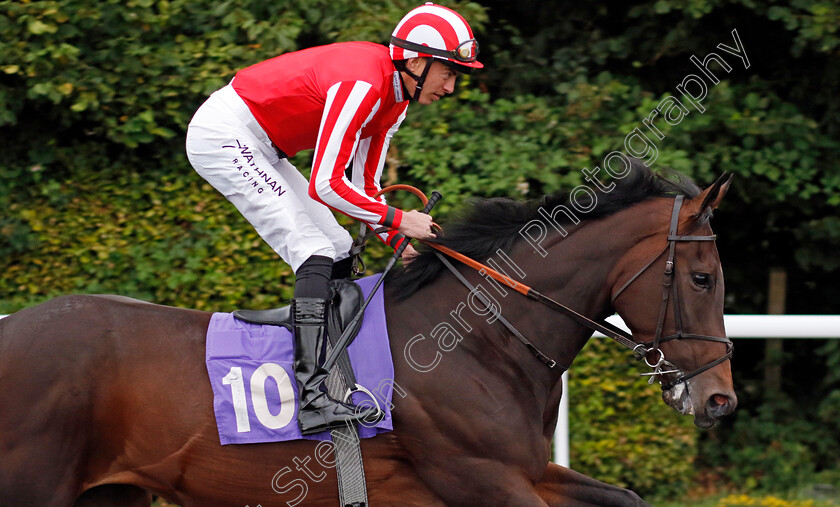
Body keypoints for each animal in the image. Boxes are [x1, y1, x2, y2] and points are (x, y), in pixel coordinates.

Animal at [0, 165, 736, 506]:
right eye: (704, 278)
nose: (719, 400)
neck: (480, 342)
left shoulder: (527, 469)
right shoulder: (483, 477)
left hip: (109, 490)